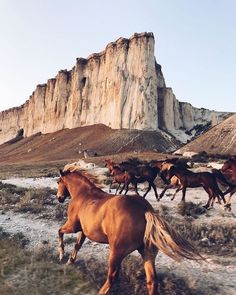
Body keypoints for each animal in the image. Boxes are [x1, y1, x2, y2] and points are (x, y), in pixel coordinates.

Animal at [55, 165, 203, 294]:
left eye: (58, 181)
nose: (59, 198)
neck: (84, 194)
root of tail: (145, 211)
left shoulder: (73, 226)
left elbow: (60, 231)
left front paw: (62, 254)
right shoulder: (84, 231)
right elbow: (77, 245)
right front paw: (70, 261)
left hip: (116, 252)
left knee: (112, 277)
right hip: (147, 252)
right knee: (152, 281)